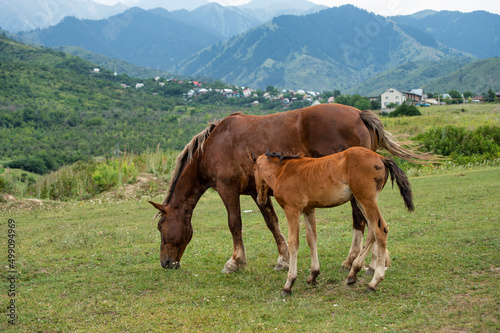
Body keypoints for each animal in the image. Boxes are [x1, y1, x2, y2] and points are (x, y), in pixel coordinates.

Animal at [148, 103, 422, 272]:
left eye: (161, 227)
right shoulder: (257, 192)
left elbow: (234, 224)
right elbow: (272, 222)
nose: (166, 263)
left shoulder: (228, 190)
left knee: (362, 221)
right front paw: (283, 258)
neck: (212, 146)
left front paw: (236, 261)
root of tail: (358, 114)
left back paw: (354, 261)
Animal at [254, 148, 414, 294]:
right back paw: (353, 273)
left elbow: (293, 243)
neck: (283, 171)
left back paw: (374, 282)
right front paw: (313, 275)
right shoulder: (309, 210)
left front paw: (289, 283)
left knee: (381, 230)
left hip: (366, 199)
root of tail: (381, 157)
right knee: (372, 231)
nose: (260, 200)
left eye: (254, 170)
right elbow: (311, 238)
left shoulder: (292, 210)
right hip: (360, 201)